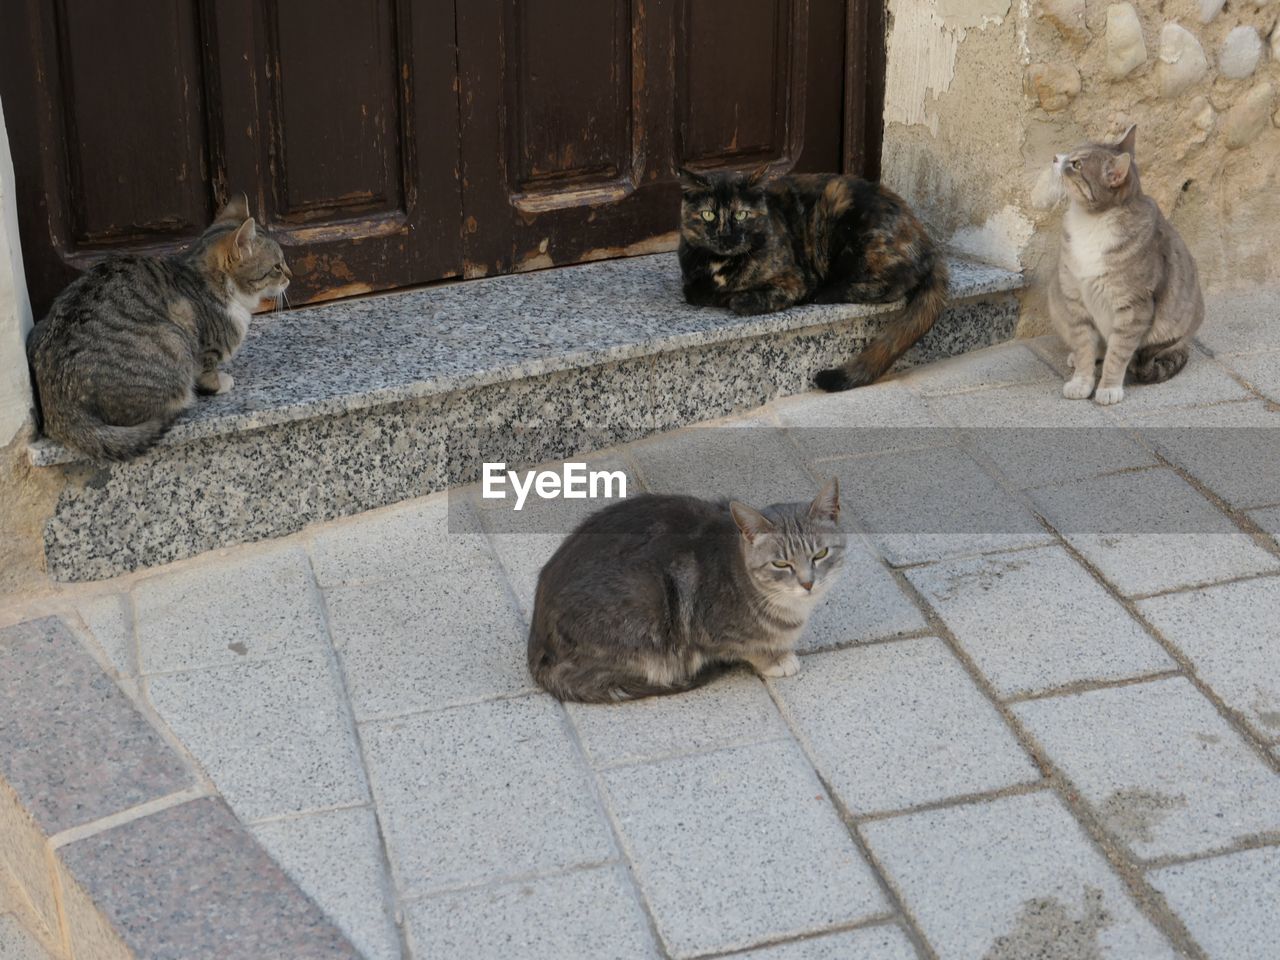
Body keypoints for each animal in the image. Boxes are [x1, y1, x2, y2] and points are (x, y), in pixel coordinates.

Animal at [28, 193, 293, 460]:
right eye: (277, 266)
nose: (291, 276)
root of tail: (59, 412)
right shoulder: (201, 344)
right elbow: (207, 372)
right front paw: (219, 383)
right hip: (172, 340)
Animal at [524, 478, 844, 701]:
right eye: (780, 563)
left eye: (820, 554)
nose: (807, 582)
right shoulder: (711, 631)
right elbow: (748, 648)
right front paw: (775, 659)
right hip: (645, 603)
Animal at [680, 167, 952, 391]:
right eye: (707, 215)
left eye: (741, 215)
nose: (725, 236)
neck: (720, 262)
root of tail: (929, 244)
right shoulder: (690, 280)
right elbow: (696, 292)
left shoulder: (794, 281)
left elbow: (739, 300)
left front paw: (737, 298)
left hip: (846, 221)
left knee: (896, 283)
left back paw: (825, 292)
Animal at [1044, 126, 1203, 404]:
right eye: (1071, 153)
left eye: (1076, 164)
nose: (1055, 157)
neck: (1091, 223)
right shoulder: (1075, 299)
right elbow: (1084, 347)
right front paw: (1081, 381)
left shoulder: (1134, 306)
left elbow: (1117, 355)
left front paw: (1108, 388)